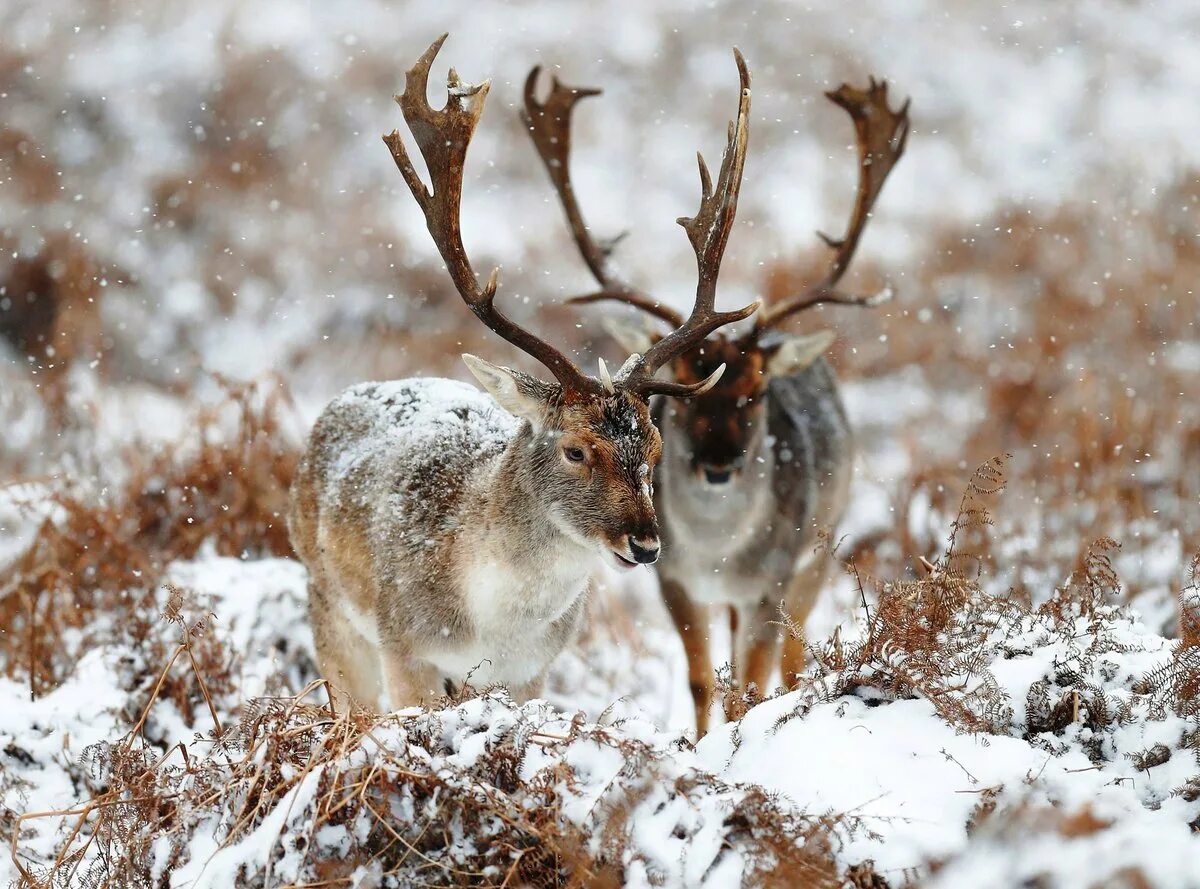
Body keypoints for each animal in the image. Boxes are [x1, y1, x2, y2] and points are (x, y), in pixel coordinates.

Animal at [289, 34, 758, 710]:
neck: (490, 625)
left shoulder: (534, 670)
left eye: (655, 446)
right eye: (575, 449)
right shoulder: (405, 648)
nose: (645, 544)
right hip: (329, 608)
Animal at [525, 69, 907, 729]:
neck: (718, 555)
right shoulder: (674, 579)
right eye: (683, 394)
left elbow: (749, 685)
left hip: (820, 550)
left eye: (756, 390)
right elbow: (704, 681)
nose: (719, 465)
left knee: (792, 660)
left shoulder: (773, 580)